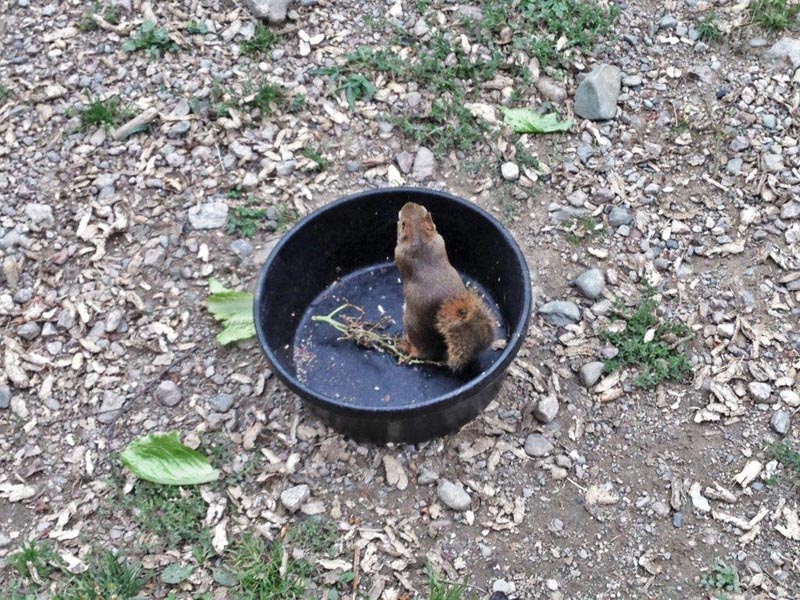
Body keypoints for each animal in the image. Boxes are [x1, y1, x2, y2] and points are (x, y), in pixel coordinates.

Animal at [394, 201, 495, 372]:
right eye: (423, 210)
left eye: (402, 222)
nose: (408, 203)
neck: (421, 241)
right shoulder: (440, 240)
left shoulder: (400, 254)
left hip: (411, 325)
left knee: (423, 352)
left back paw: (408, 348)